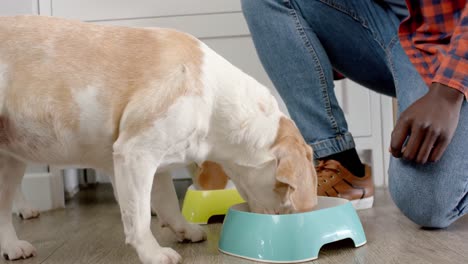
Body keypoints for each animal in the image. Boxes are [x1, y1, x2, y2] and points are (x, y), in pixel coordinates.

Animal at [0, 16, 318, 264]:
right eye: (284, 186)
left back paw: (12, 247)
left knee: (2, 212)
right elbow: (139, 216)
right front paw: (153, 253)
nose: (292, 214)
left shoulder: (160, 164)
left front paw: (184, 229)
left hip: (10, 164)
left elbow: (167, 202)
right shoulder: (135, 154)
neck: (214, 97)